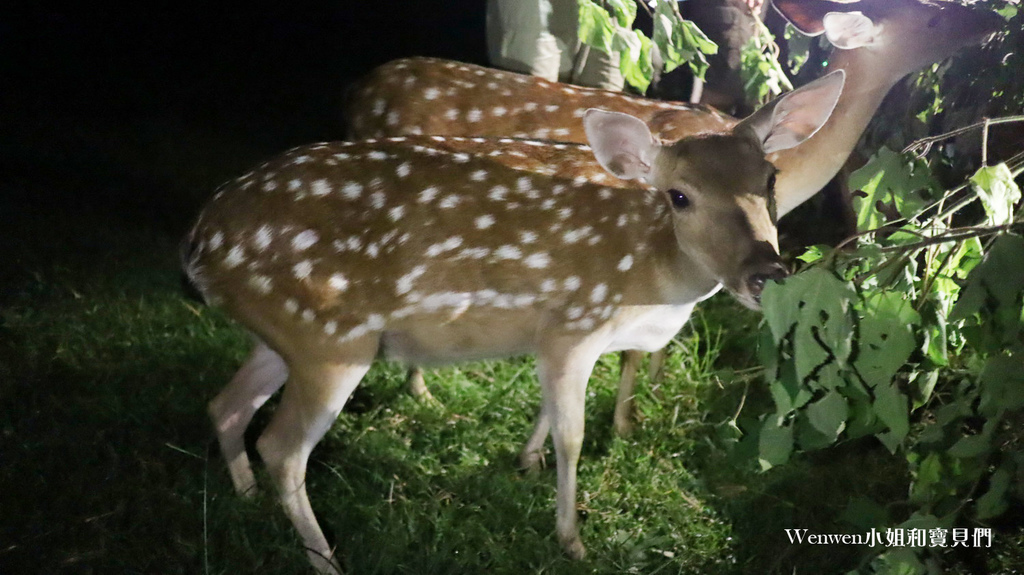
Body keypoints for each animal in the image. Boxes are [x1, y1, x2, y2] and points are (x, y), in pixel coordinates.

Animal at [182, 68, 839, 568]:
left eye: (771, 179)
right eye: (679, 196)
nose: (766, 273)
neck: (651, 280)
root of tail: (200, 243)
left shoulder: (557, 335)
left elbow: (548, 413)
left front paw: (525, 463)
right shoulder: (574, 321)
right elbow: (573, 435)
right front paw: (572, 540)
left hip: (285, 334)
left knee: (226, 404)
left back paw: (244, 499)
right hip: (331, 338)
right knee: (281, 445)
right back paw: (326, 558)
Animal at [342, 0, 999, 429]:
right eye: (935, 14)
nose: (993, 21)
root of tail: (360, 93)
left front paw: (656, 395)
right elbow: (632, 347)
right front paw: (625, 425)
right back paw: (421, 393)